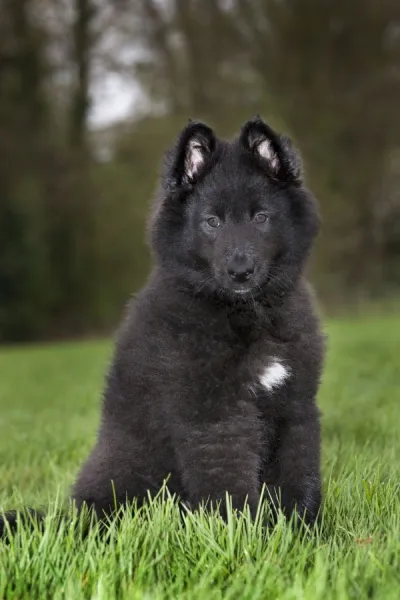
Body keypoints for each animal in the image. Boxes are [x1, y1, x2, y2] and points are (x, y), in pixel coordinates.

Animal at [0, 116, 324, 536]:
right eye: (211, 222)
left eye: (261, 217)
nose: (240, 271)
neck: (244, 311)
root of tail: (74, 517)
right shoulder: (214, 415)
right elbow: (229, 483)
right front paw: (243, 539)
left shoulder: (296, 404)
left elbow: (299, 474)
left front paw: (302, 534)